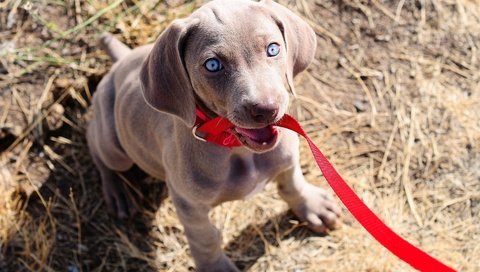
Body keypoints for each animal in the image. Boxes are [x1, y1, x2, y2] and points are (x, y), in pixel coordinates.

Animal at [86, 1, 342, 270]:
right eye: (212, 65)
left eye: (273, 49)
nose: (266, 109)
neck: (238, 149)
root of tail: (123, 60)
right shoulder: (189, 205)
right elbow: (205, 238)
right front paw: (215, 266)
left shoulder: (287, 157)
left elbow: (293, 183)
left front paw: (312, 205)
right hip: (114, 146)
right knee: (95, 144)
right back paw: (118, 192)